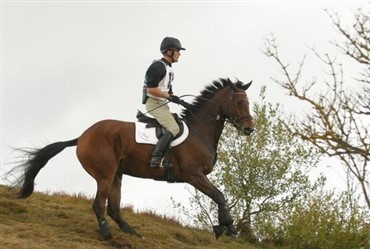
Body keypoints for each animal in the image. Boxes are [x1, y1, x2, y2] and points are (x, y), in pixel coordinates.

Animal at [12, 78, 254, 239]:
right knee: (99, 205)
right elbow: (220, 196)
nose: (249, 129)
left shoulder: (196, 176)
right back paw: (107, 234)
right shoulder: (194, 175)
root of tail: (82, 136)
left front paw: (226, 227)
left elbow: (220, 197)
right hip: (105, 175)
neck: (199, 131)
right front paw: (228, 228)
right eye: (240, 103)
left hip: (116, 175)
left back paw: (131, 232)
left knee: (113, 207)